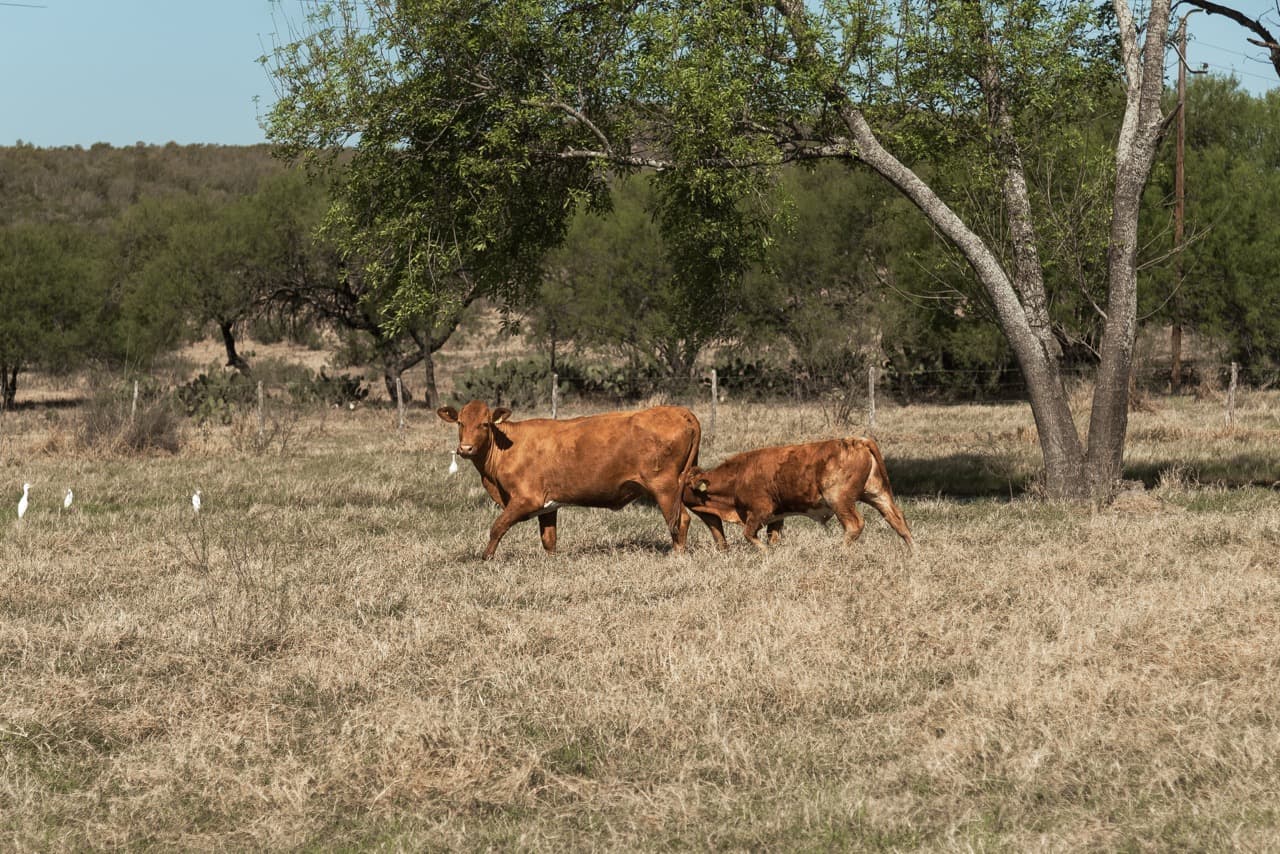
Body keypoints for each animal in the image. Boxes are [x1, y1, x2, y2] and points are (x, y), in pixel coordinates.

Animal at [437, 400, 702, 560]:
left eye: (485, 423)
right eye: (460, 422)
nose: (466, 448)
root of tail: (679, 411)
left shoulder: (525, 499)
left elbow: (497, 527)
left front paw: (486, 558)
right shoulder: (547, 506)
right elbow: (549, 540)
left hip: (665, 488)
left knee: (680, 520)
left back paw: (677, 555)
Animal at [682, 436, 913, 552]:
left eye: (684, 484)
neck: (739, 474)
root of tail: (856, 441)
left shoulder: (760, 511)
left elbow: (749, 535)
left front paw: (764, 553)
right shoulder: (776, 517)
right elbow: (772, 538)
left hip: (839, 500)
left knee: (854, 525)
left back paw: (839, 550)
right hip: (876, 494)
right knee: (897, 519)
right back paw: (913, 551)